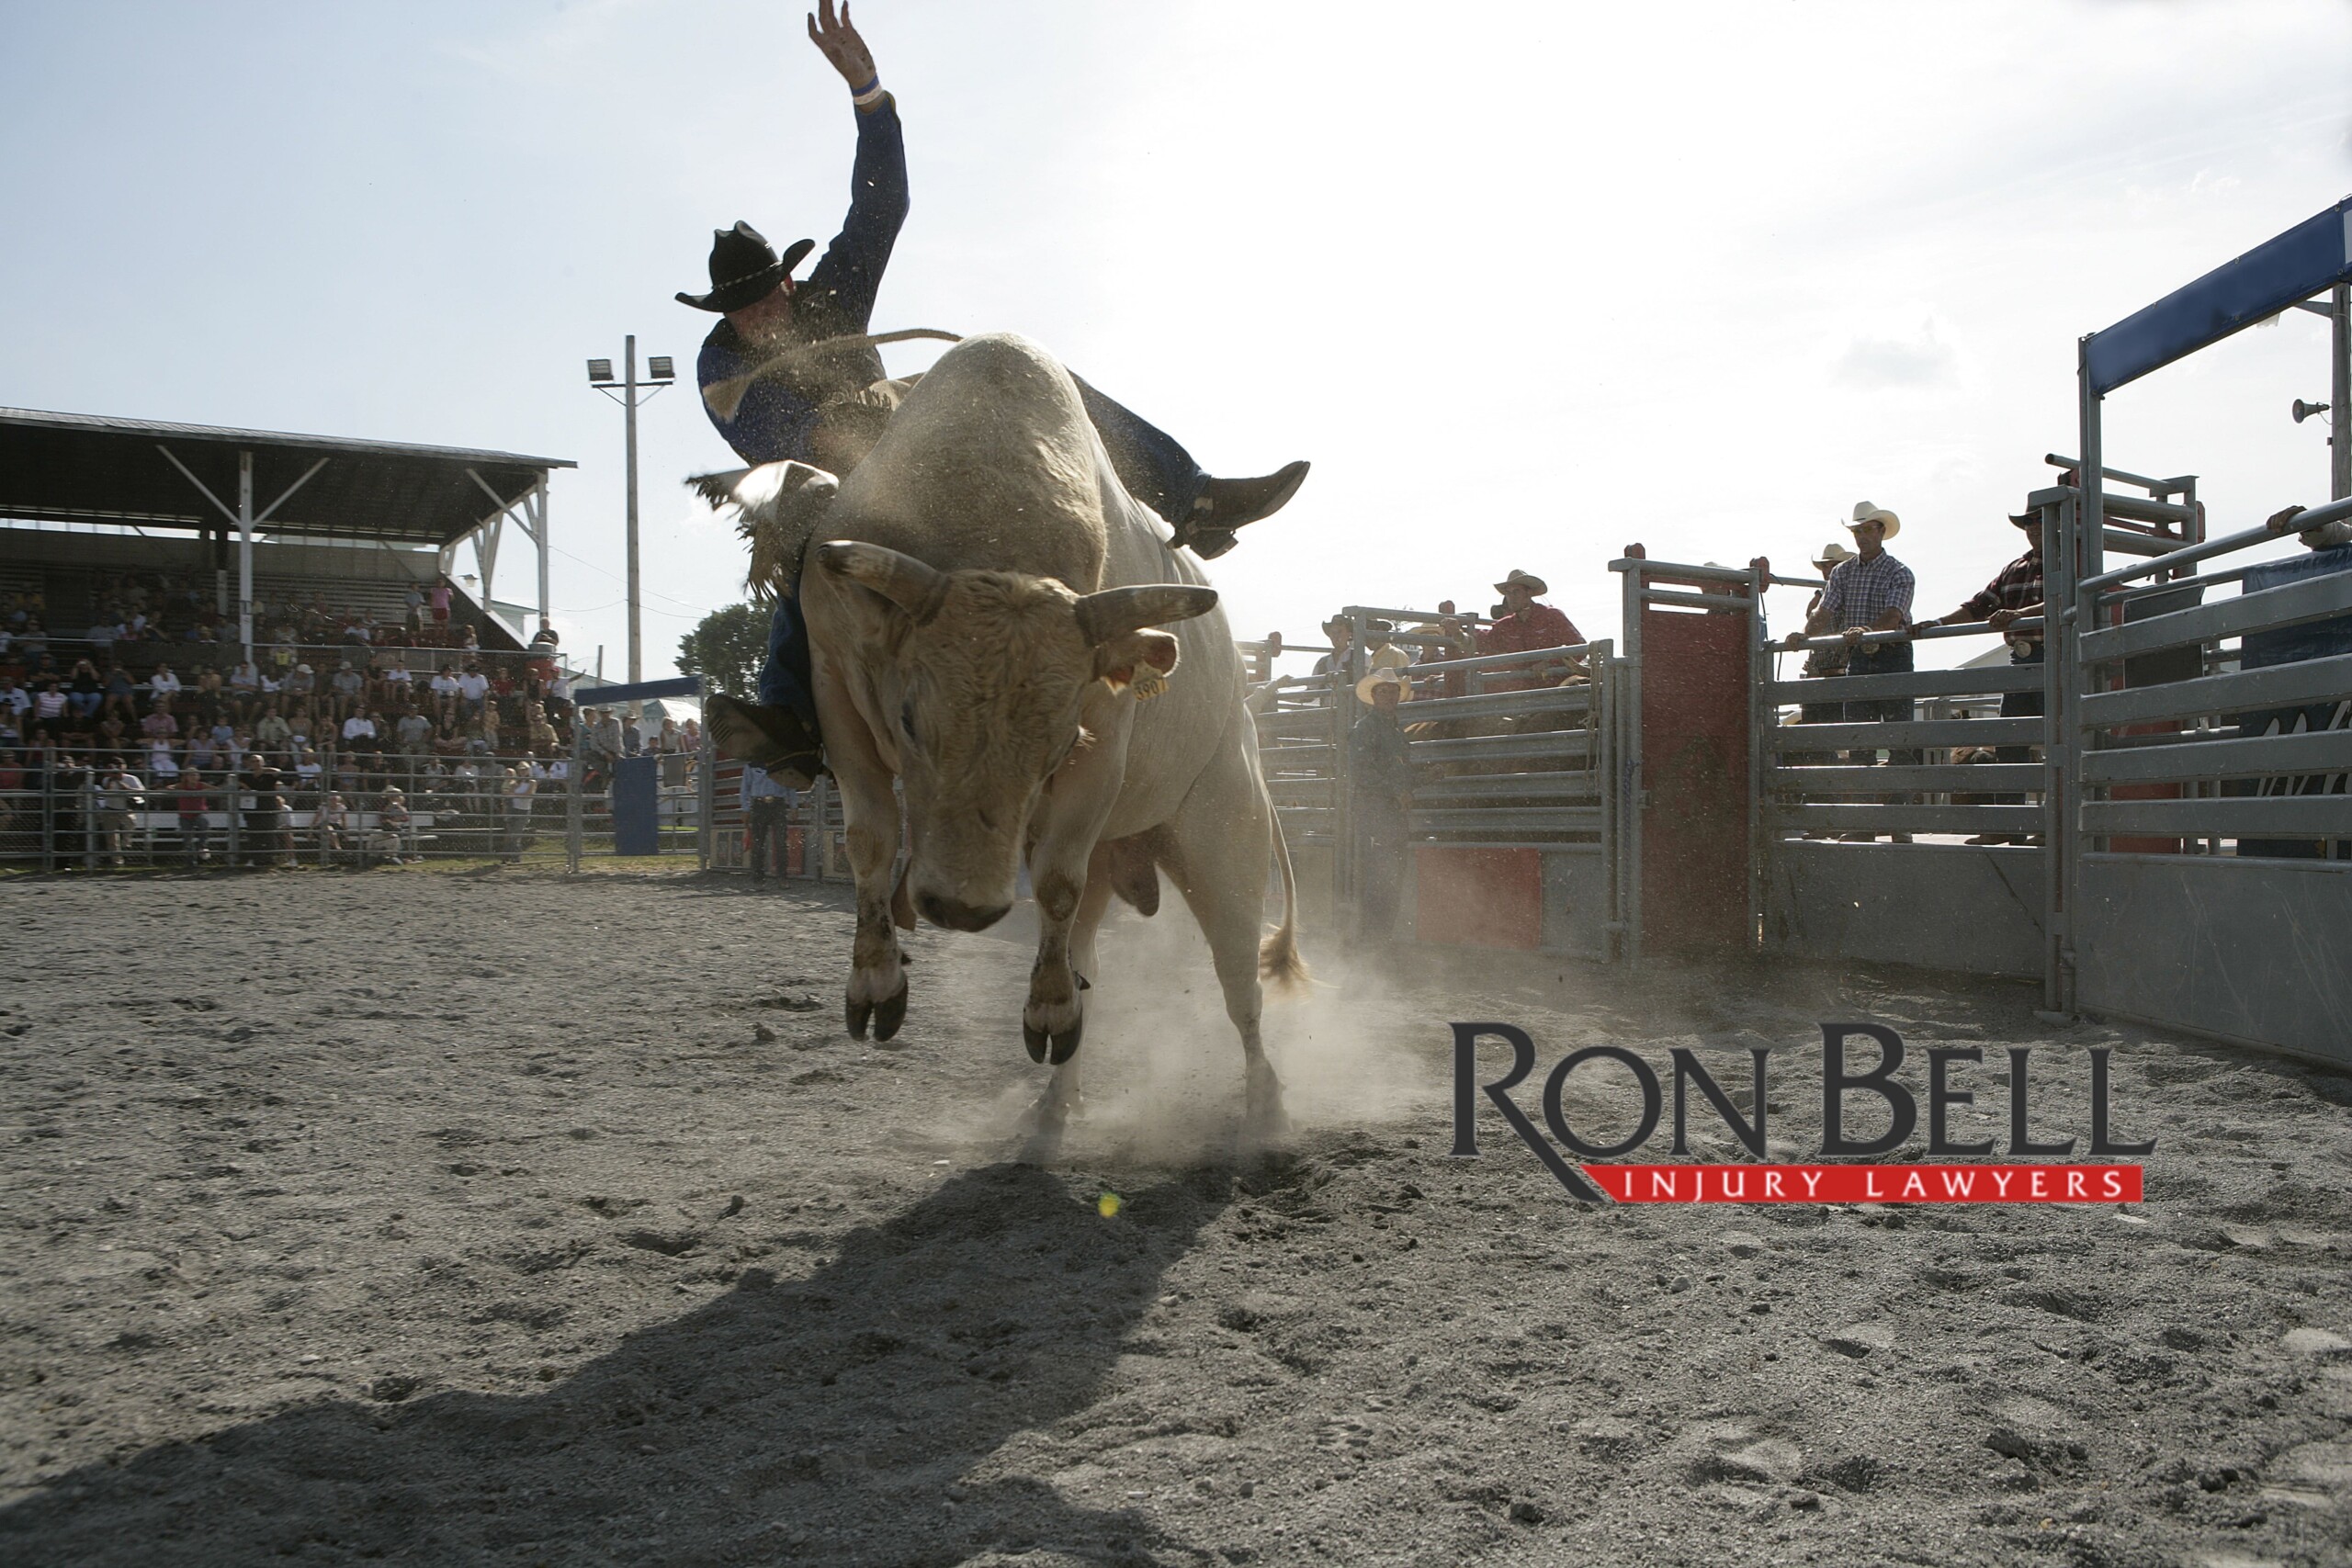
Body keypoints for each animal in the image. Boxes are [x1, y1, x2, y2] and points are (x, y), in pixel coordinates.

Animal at [686, 331, 1317, 1146]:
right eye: (909, 718)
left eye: (1060, 741)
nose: (958, 907)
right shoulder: (836, 685)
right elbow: (870, 839)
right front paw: (875, 983)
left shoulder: (1103, 737)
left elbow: (1052, 880)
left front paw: (1039, 1012)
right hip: (1125, 867)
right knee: (1085, 966)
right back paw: (1054, 1104)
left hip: (1225, 842)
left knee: (1239, 990)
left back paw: (1264, 1106)